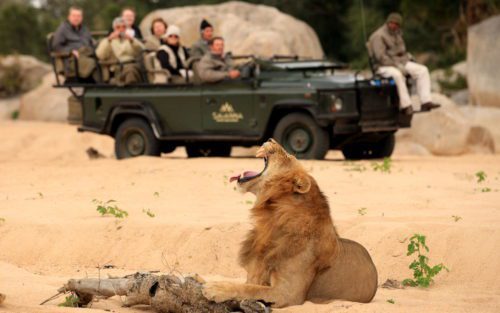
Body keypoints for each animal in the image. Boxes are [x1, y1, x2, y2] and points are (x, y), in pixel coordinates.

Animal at [201, 139, 376, 308]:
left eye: (288, 156)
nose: (270, 139)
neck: (271, 217)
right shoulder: (256, 272)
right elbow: (249, 285)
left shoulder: (287, 292)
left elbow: (250, 289)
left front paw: (216, 288)